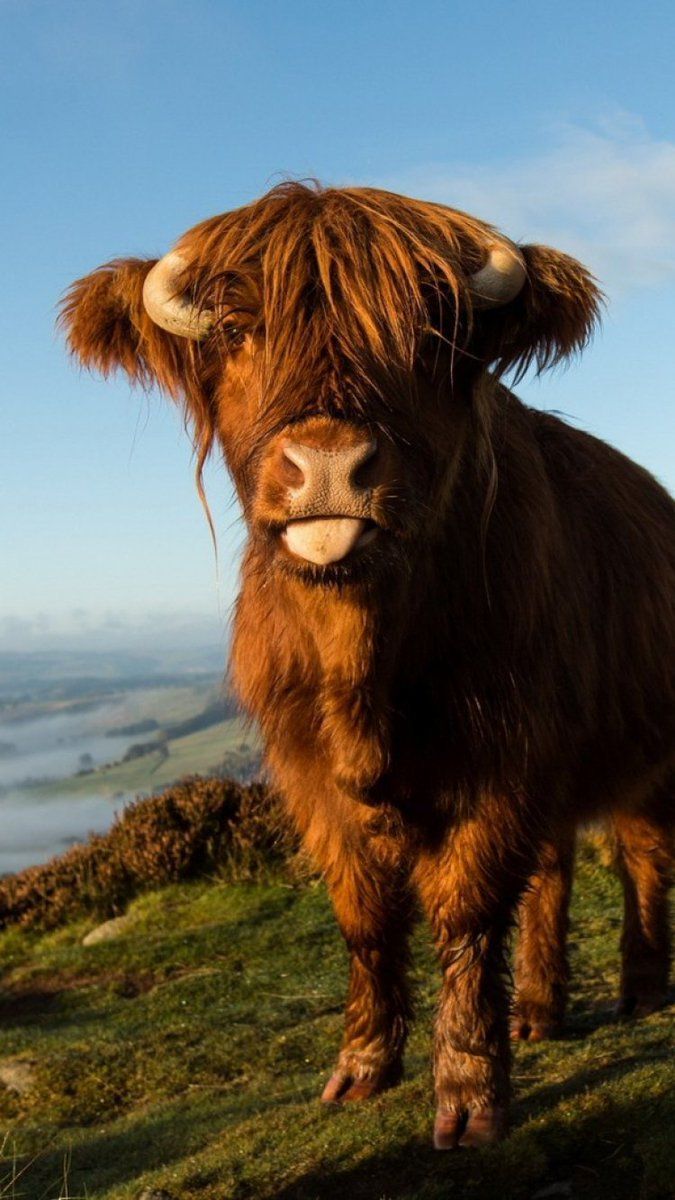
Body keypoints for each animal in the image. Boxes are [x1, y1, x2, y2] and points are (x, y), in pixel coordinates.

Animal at [61, 182, 675, 1149]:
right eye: (234, 330)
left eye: (428, 336)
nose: (328, 466)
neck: (362, 659)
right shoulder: (308, 768)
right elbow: (364, 912)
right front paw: (361, 1066)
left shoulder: (506, 755)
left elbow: (465, 909)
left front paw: (468, 1094)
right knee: (554, 866)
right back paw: (538, 1009)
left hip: (647, 753)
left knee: (641, 853)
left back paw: (641, 990)